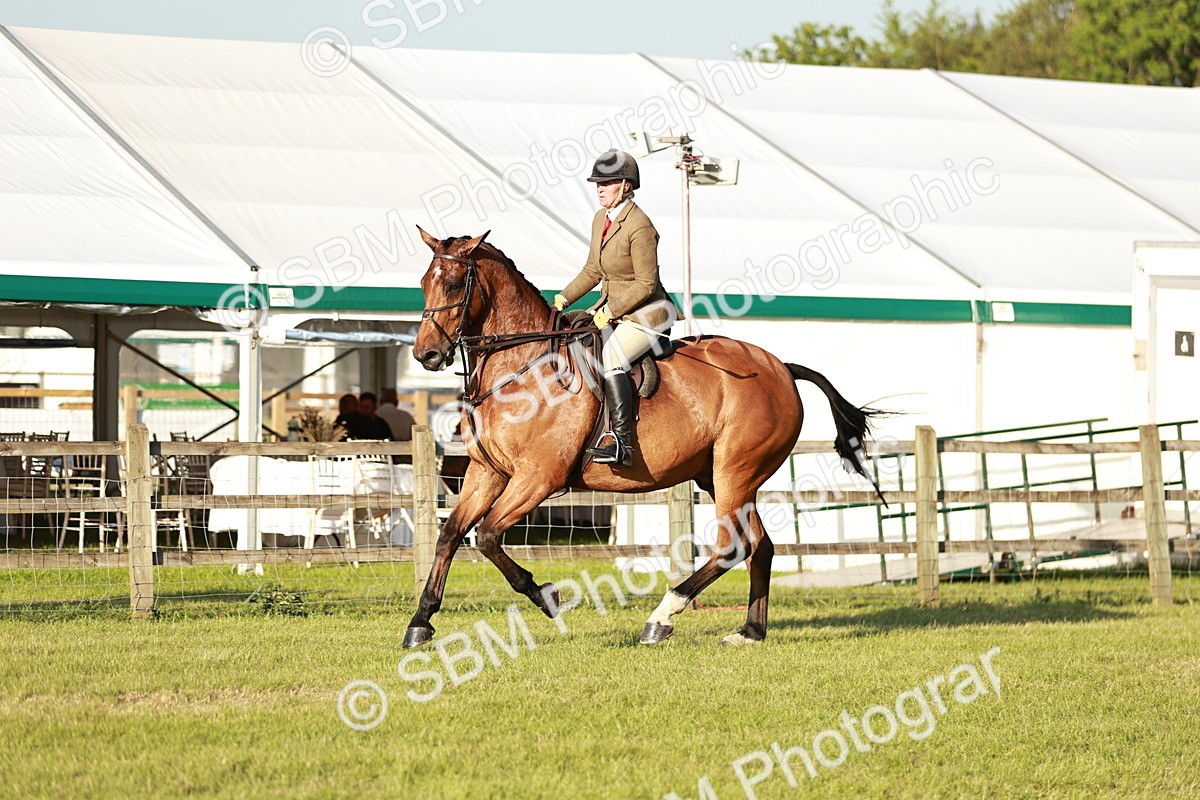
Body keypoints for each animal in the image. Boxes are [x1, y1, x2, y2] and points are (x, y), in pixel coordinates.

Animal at [405, 227, 883, 647]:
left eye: (453, 284)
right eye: (424, 283)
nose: (426, 354)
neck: (522, 368)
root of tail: (782, 367)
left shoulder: (537, 477)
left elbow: (486, 536)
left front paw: (547, 596)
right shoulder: (488, 473)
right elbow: (451, 535)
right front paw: (420, 623)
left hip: (735, 471)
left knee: (735, 544)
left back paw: (662, 618)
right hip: (718, 477)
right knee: (759, 546)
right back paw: (749, 631)